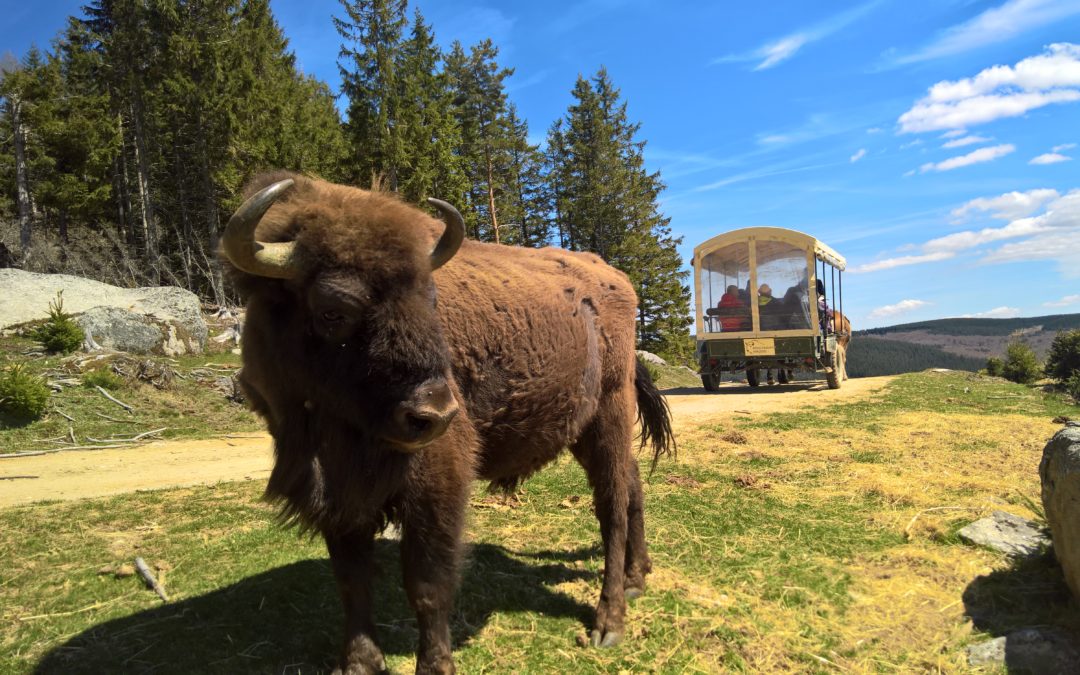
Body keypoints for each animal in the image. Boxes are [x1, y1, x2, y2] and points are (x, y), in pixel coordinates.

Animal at [219, 170, 673, 669]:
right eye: (332, 311)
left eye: (431, 299)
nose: (435, 412)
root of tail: (616, 280)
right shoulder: (340, 495)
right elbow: (352, 582)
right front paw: (359, 663)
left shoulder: (436, 484)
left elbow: (427, 584)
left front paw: (435, 664)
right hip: (586, 428)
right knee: (631, 485)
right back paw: (637, 577)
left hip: (610, 412)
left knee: (611, 505)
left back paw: (609, 622)